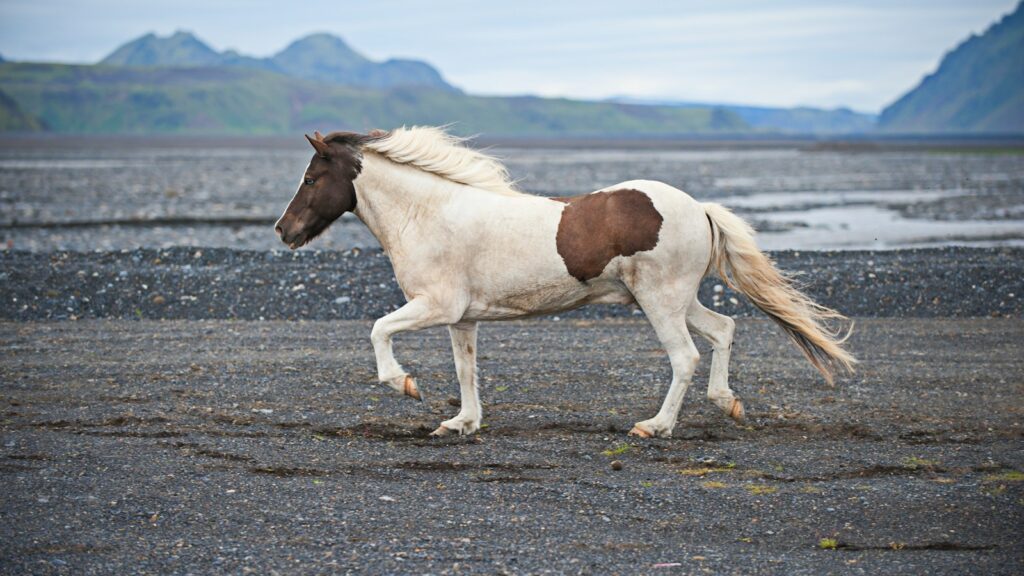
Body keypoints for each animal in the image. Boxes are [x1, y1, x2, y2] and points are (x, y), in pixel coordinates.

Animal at [274, 126, 856, 438]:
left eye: (310, 178)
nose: (284, 230)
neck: (430, 213)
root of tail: (698, 208)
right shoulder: (463, 318)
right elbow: (466, 371)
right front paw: (461, 423)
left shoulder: (434, 305)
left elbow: (378, 330)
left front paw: (404, 384)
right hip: (676, 298)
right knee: (723, 329)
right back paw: (727, 402)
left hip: (660, 300)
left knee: (685, 356)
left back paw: (654, 426)